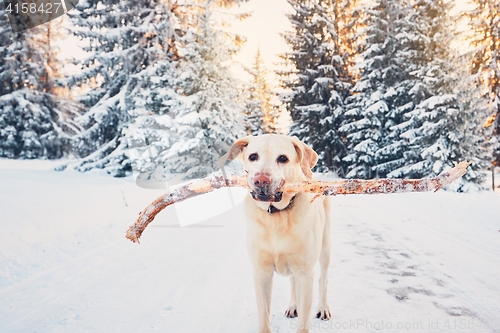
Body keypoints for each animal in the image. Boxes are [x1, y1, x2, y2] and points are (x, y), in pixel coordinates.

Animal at [220, 134, 330, 330]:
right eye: (253, 156)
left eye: (283, 158)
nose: (261, 180)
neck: (277, 216)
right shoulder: (261, 272)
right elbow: (264, 318)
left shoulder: (305, 274)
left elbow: (303, 324)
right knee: (293, 281)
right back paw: (293, 306)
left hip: (325, 247)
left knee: (323, 279)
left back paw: (323, 308)